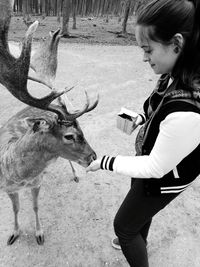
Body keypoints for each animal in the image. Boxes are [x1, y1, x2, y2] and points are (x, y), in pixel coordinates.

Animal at [0, 0, 99, 247]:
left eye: (82, 129)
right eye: (69, 135)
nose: (93, 156)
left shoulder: (36, 183)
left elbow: (35, 207)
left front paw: (39, 234)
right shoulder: (6, 188)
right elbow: (16, 209)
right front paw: (14, 233)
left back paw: (75, 174)